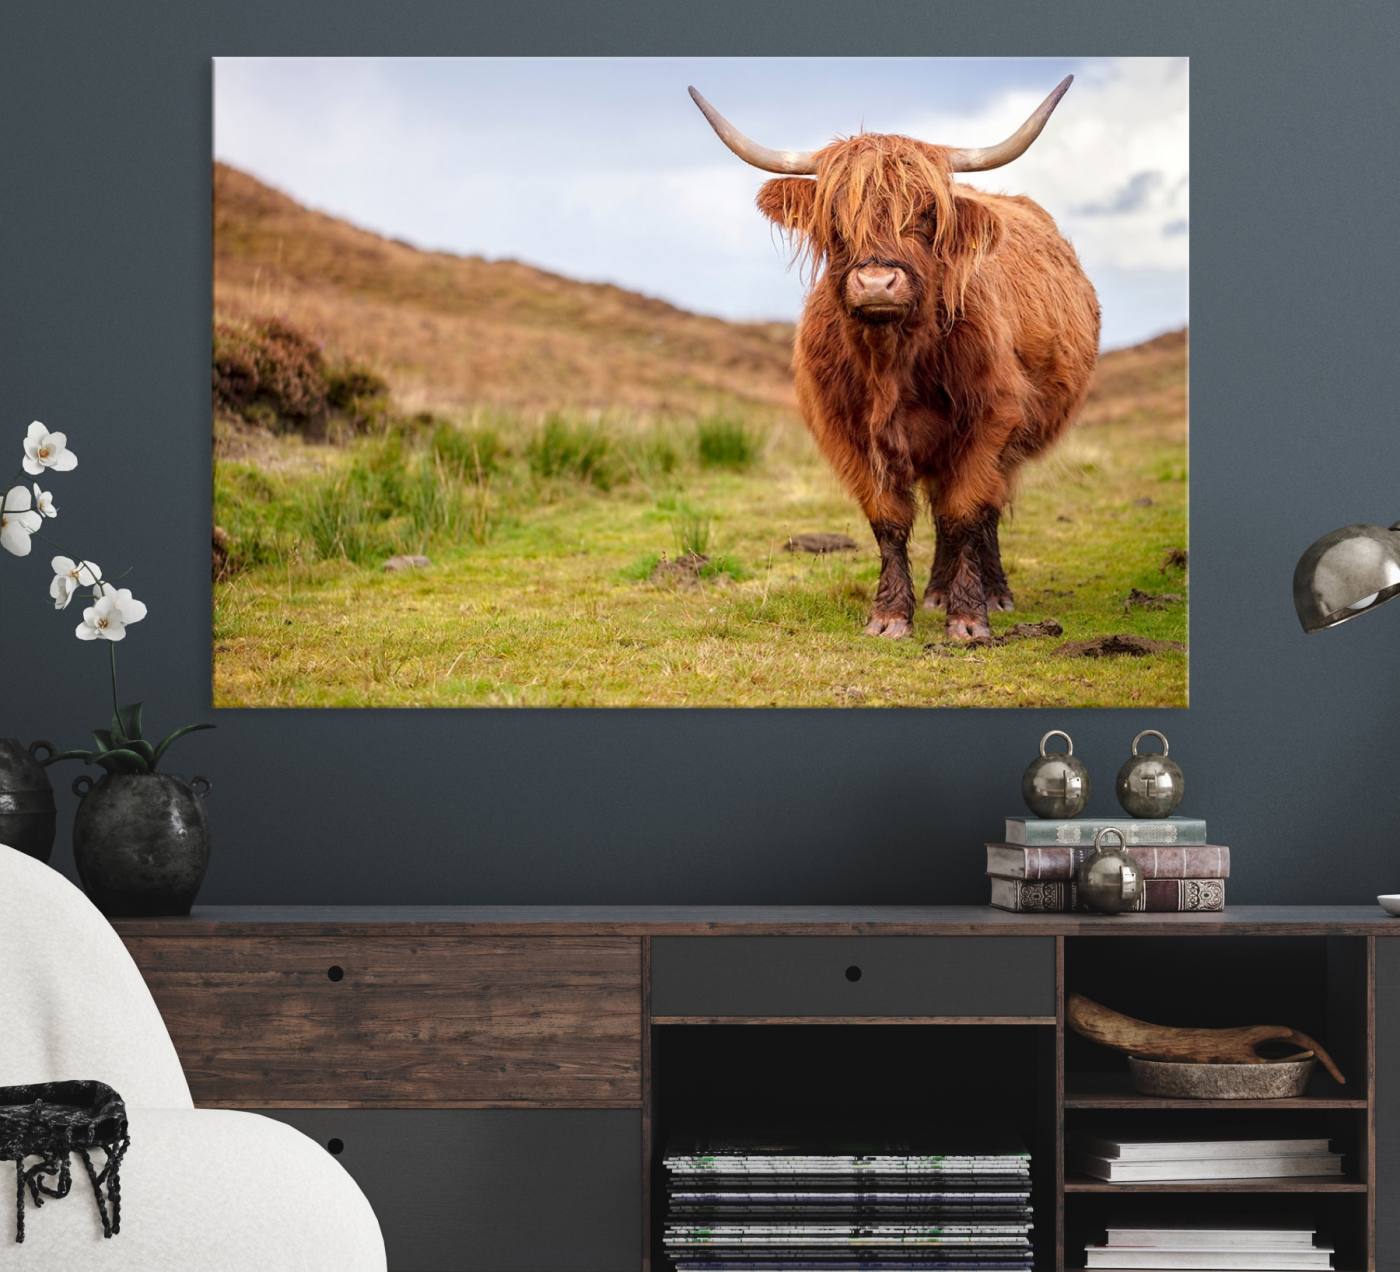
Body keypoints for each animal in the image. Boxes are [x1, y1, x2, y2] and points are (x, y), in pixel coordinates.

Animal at [690, 78, 1100, 642]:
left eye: (927, 214)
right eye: (836, 217)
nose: (877, 283)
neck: (892, 362)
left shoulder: (990, 421)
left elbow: (965, 512)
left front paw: (969, 619)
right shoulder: (849, 433)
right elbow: (889, 520)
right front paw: (890, 616)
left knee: (984, 512)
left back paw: (993, 593)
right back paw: (935, 593)